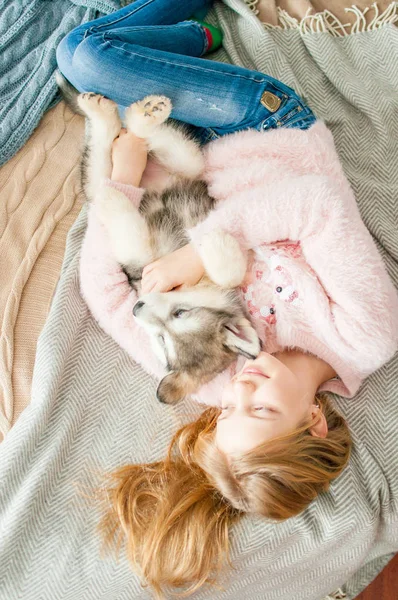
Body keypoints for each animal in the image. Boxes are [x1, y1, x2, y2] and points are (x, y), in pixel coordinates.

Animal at [56, 74, 262, 404]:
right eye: (181, 312)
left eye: (162, 340)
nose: (136, 307)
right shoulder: (141, 267)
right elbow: (232, 272)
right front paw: (216, 245)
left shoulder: (140, 264)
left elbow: (130, 230)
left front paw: (113, 198)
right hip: (186, 166)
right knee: (136, 145)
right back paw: (138, 115)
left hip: (128, 173)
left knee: (105, 164)